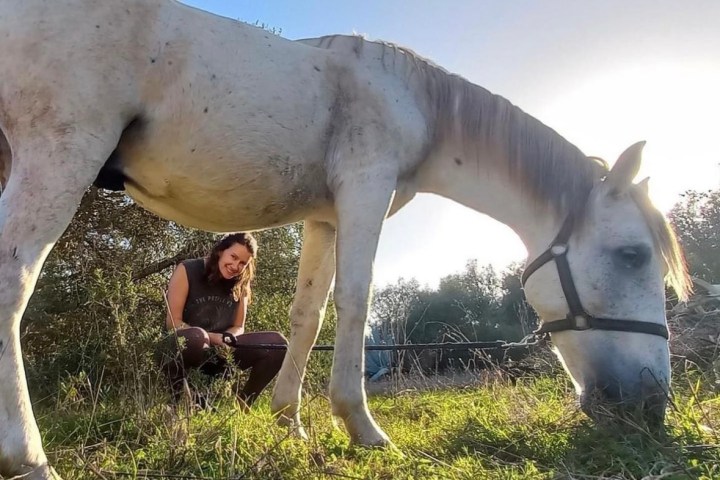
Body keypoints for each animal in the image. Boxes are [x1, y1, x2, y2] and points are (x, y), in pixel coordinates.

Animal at [0, 1, 689, 478]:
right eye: (632, 255)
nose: (651, 403)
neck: (411, 100)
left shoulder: (325, 217)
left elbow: (308, 315)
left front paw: (290, 424)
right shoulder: (365, 192)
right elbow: (355, 302)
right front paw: (362, 427)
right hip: (59, 152)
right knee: (14, 282)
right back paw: (29, 457)